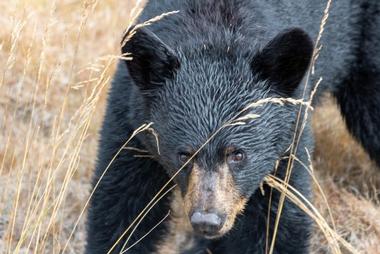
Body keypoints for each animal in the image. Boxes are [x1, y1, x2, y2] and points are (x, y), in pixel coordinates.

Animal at [86, 0, 380, 253]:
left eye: (238, 154)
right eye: (184, 154)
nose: (207, 221)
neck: (215, 34)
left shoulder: (286, 142)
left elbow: (277, 220)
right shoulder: (131, 122)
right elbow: (120, 204)